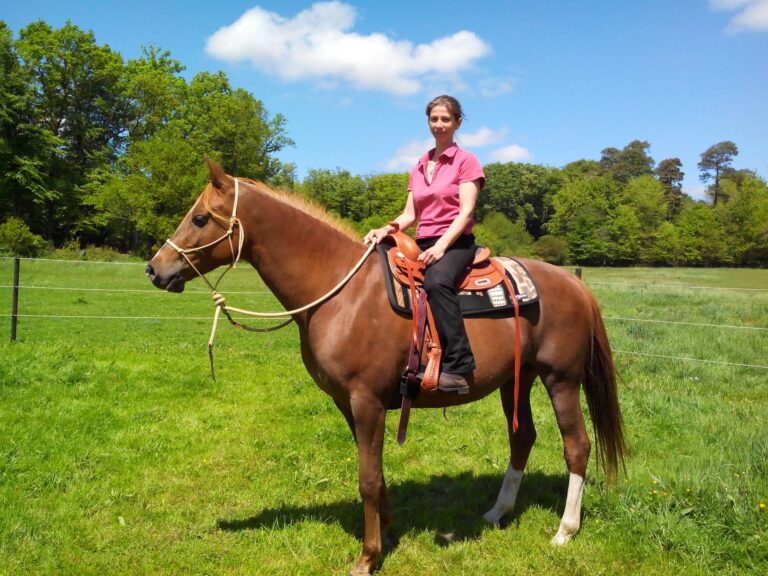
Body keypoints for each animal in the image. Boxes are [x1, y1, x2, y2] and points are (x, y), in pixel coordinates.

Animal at [144, 162, 624, 576]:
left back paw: (564, 531)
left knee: (577, 446)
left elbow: (368, 479)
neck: (341, 290)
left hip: (560, 379)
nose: (154, 269)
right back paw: (496, 512)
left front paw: (368, 556)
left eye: (200, 218)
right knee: (522, 438)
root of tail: (574, 283)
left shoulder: (367, 400)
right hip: (516, 381)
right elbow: (373, 473)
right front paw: (388, 531)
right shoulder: (348, 404)